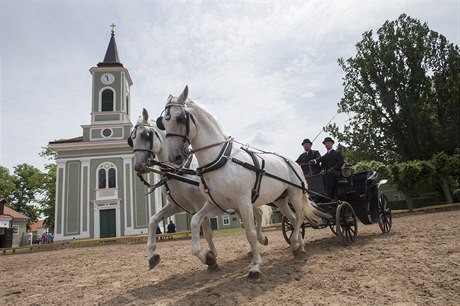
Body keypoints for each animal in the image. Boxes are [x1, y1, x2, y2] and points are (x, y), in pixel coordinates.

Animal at [127, 109, 270, 270]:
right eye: (131, 139)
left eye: (145, 135)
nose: (138, 166)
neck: (179, 171)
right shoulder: (175, 206)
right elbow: (153, 220)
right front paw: (152, 256)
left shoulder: (200, 205)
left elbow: (207, 233)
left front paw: (210, 257)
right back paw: (253, 248)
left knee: (257, 216)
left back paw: (261, 239)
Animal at [156, 85, 328, 280]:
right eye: (163, 123)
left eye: (179, 117)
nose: (175, 157)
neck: (220, 160)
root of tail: (293, 162)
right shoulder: (215, 204)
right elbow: (194, 222)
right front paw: (207, 257)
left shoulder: (243, 201)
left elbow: (250, 233)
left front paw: (255, 266)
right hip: (280, 199)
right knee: (292, 219)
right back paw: (298, 246)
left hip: (295, 193)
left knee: (299, 218)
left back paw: (296, 243)